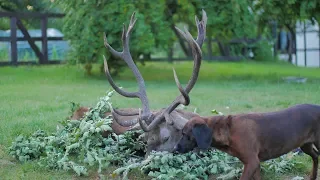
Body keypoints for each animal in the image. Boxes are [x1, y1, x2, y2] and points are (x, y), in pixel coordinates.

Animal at [175, 104, 320, 180]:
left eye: (184, 134)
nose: (175, 148)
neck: (229, 130)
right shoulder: (255, 165)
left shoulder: (252, 162)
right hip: (305, 145)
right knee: (315, 156)